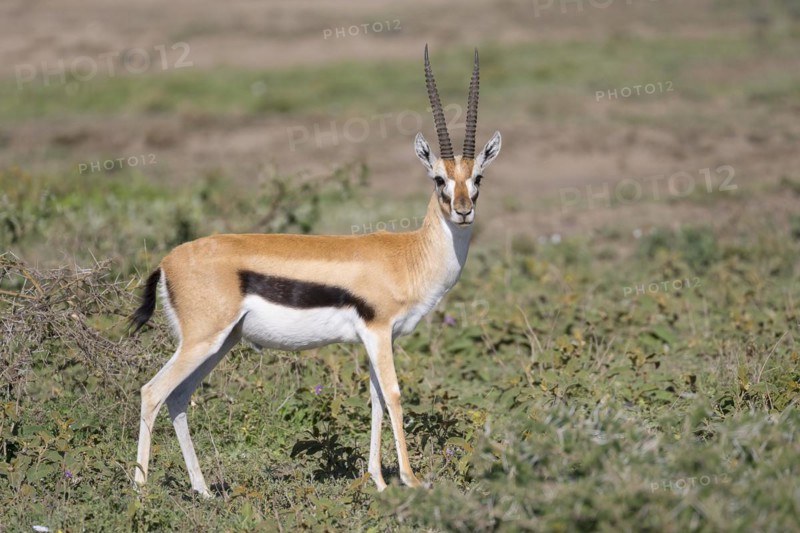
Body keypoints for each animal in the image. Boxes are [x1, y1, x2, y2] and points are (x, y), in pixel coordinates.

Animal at [130, 45, 501, 497]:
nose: (463, 211)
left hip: (220, 343)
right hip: (202, 341)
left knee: (179, 397)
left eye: (477, 177)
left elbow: (376, 401)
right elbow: (394, 395)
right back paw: (140, 493)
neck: (408, 255)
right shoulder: (378, 333)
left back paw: (203, 491)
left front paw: (378, 481)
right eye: (438, 179)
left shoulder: (376, 338)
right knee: (152, 392)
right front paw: (410, 480)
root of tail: (167, 262)